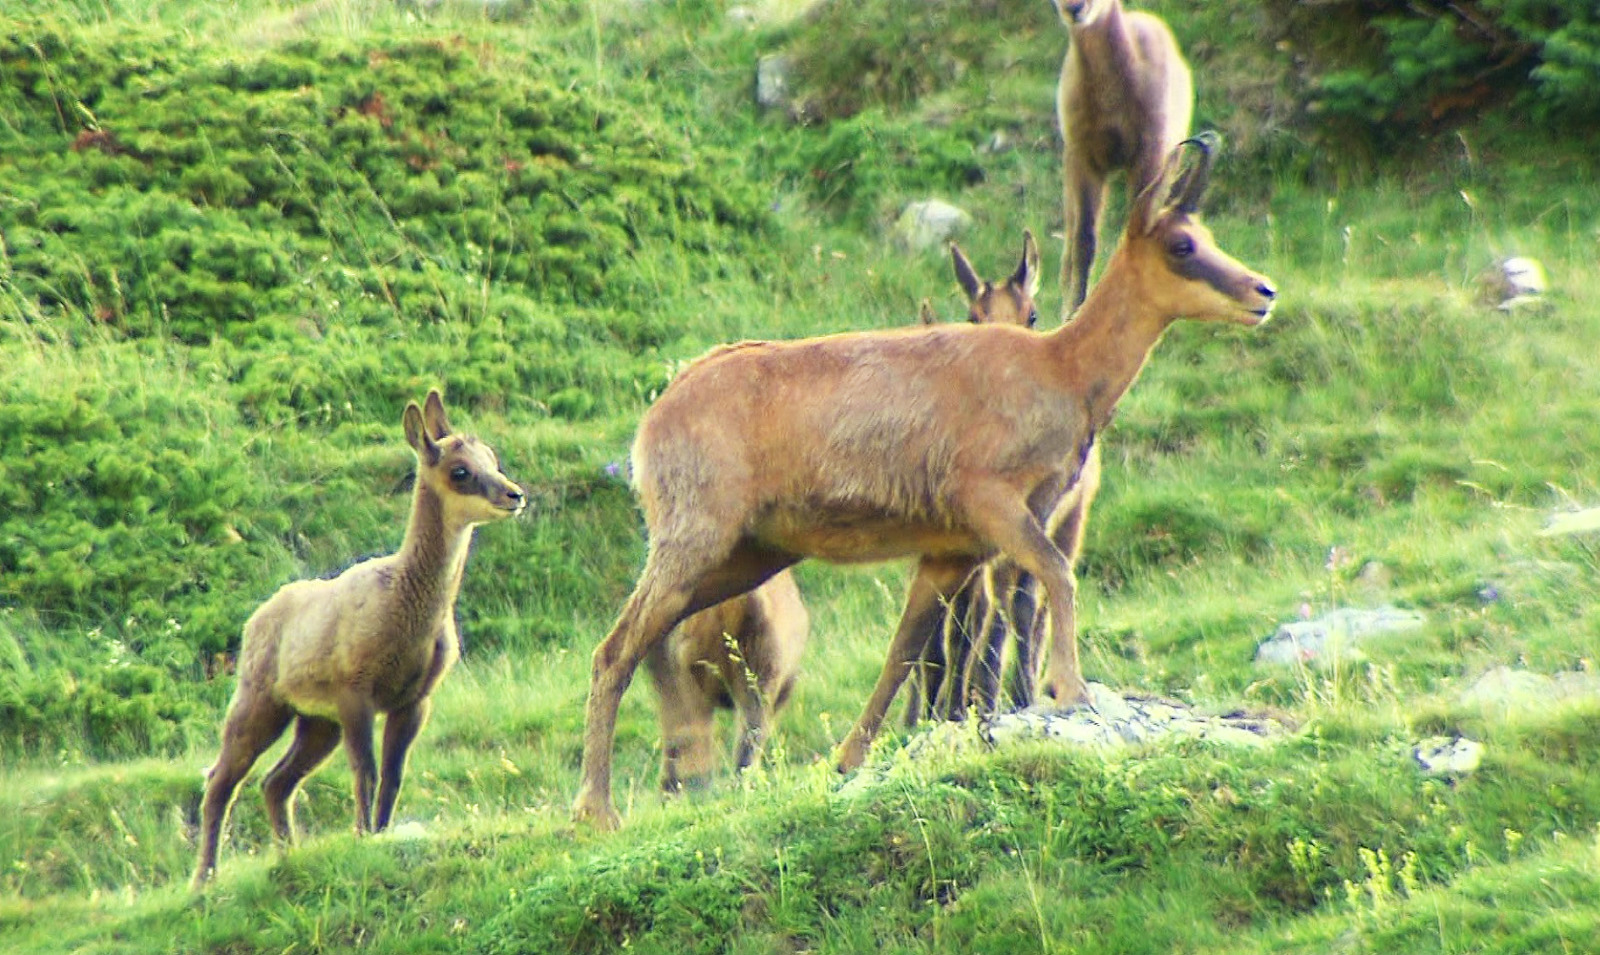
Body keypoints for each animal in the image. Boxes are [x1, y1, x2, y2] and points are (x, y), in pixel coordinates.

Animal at [191, 387, 521, 889]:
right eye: (460, 471)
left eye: (493, 459)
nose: (514, 494)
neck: (405, 609)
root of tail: (255, 620)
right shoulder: (355, 691)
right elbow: (365, 771)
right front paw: (363, 837)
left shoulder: (415, 700)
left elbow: (394, 774)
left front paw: (380, 834)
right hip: (260, 701)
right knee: (221, 780)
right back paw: (204, 880)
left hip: (316, 721)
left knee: (275, 782)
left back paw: (288, 856)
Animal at [1056, 0, 1196, 313]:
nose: (1074, 8)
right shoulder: (1083, 154)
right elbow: (1084, 238)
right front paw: (1073, 311)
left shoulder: (1149, 152)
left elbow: (1138, 225)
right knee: (1071, 235)